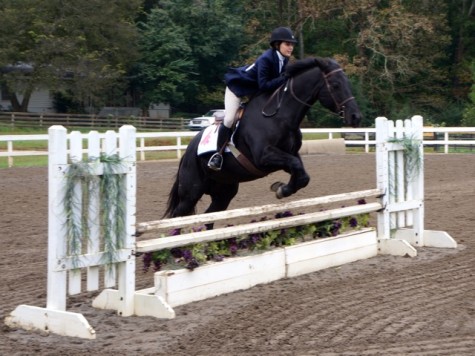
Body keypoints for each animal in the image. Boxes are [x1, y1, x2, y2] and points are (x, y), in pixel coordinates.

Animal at [165, 57, 362, 218]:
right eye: (335, 85)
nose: (356, 117)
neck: (280, 115)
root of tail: (188, 151)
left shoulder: (289, 154)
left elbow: (302, 175)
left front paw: (281, 189)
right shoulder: (263, 156)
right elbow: (296, 167)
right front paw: (281, 189)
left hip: (224, 191)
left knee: (209, 217)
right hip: (191, 192)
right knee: (177, 216)